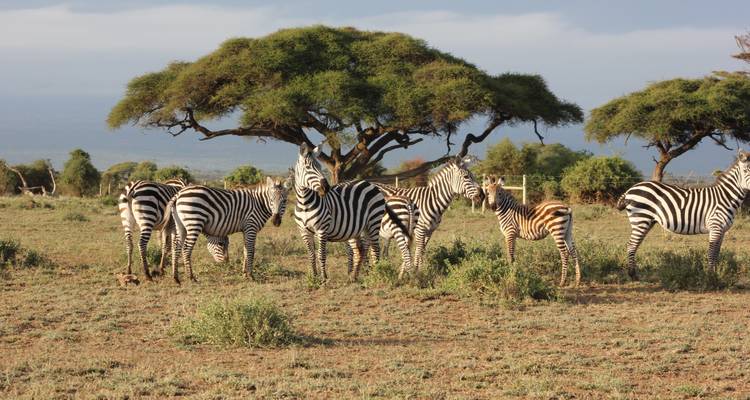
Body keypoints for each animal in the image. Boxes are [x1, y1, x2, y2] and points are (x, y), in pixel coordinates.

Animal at [293, 143, 389, 282]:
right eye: (308, 167)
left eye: (320, 167)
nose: (326, 187)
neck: (305, 203)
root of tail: (369, 183)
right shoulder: (304, 231)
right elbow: (311, 255)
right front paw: (314, 277)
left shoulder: (322, 230)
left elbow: (321, 254)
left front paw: (324, 278)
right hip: (358, 228)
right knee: (361, 250)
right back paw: (354, 276)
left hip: (373, 222)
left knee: (375, 248)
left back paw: (377, 274)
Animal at [617, 151, 750, 279]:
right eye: (745, 171)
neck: (725, 197)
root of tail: (630, 189)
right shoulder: (715, 226)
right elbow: (712, 252)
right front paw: (710, 276)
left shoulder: (722, 230)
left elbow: (717, 252)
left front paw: (715, 273)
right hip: (640, 219)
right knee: (631, 245)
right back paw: (632, 275)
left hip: (647, 222)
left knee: (635, 244)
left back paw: (633, 273)